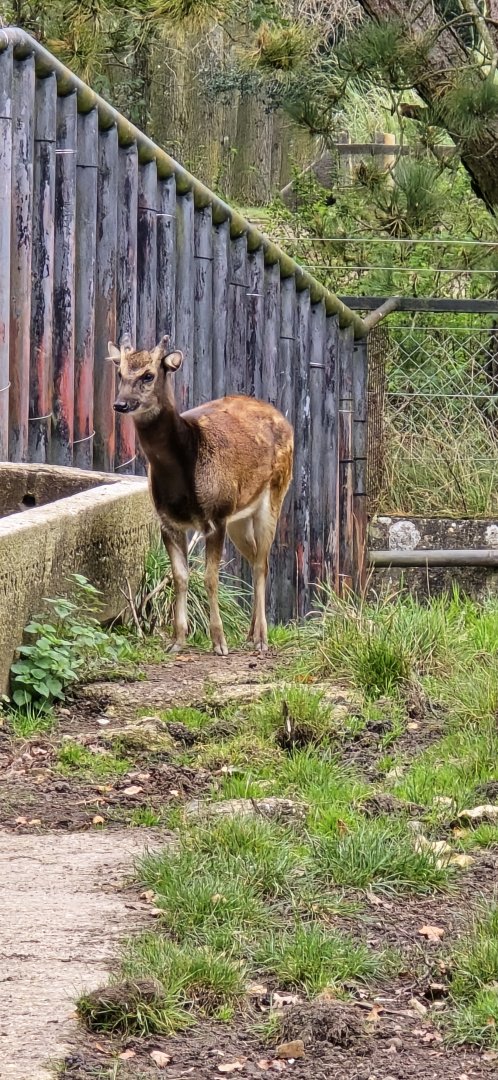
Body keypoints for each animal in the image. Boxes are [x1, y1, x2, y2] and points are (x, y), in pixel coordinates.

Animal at [110, 334, 294, 656]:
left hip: (275, 492)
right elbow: (180, 577)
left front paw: (219, 642)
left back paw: (261, 638)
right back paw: (250, 634)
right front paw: (177, 640)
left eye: (148, 375)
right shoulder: (168, 521)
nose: (120, 404)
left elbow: (209, 577)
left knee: (262, 562)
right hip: (239, 518)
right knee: (255, 558)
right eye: (119, 373)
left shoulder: (216, 516)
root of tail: (283, 418)